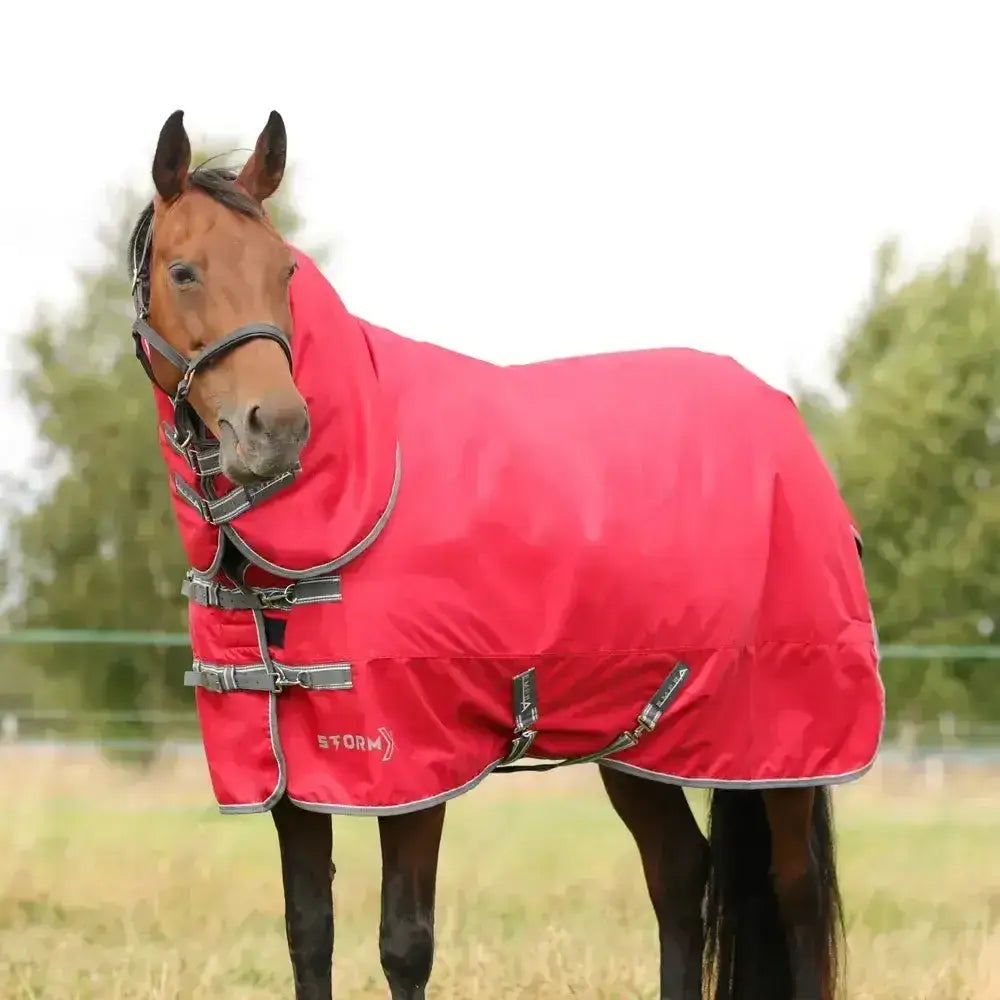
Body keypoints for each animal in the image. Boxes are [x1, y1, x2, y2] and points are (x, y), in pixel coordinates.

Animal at [126, 109, 883, 1000]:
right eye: (184, 271)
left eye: (285, 272)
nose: (276, 430)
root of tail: (794, 438)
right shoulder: (289, 771)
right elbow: (308, 932)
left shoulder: (413, 762)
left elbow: (403, 942)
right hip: (639, 736)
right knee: (678, 876)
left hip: (788, 749)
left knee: (793, 892)